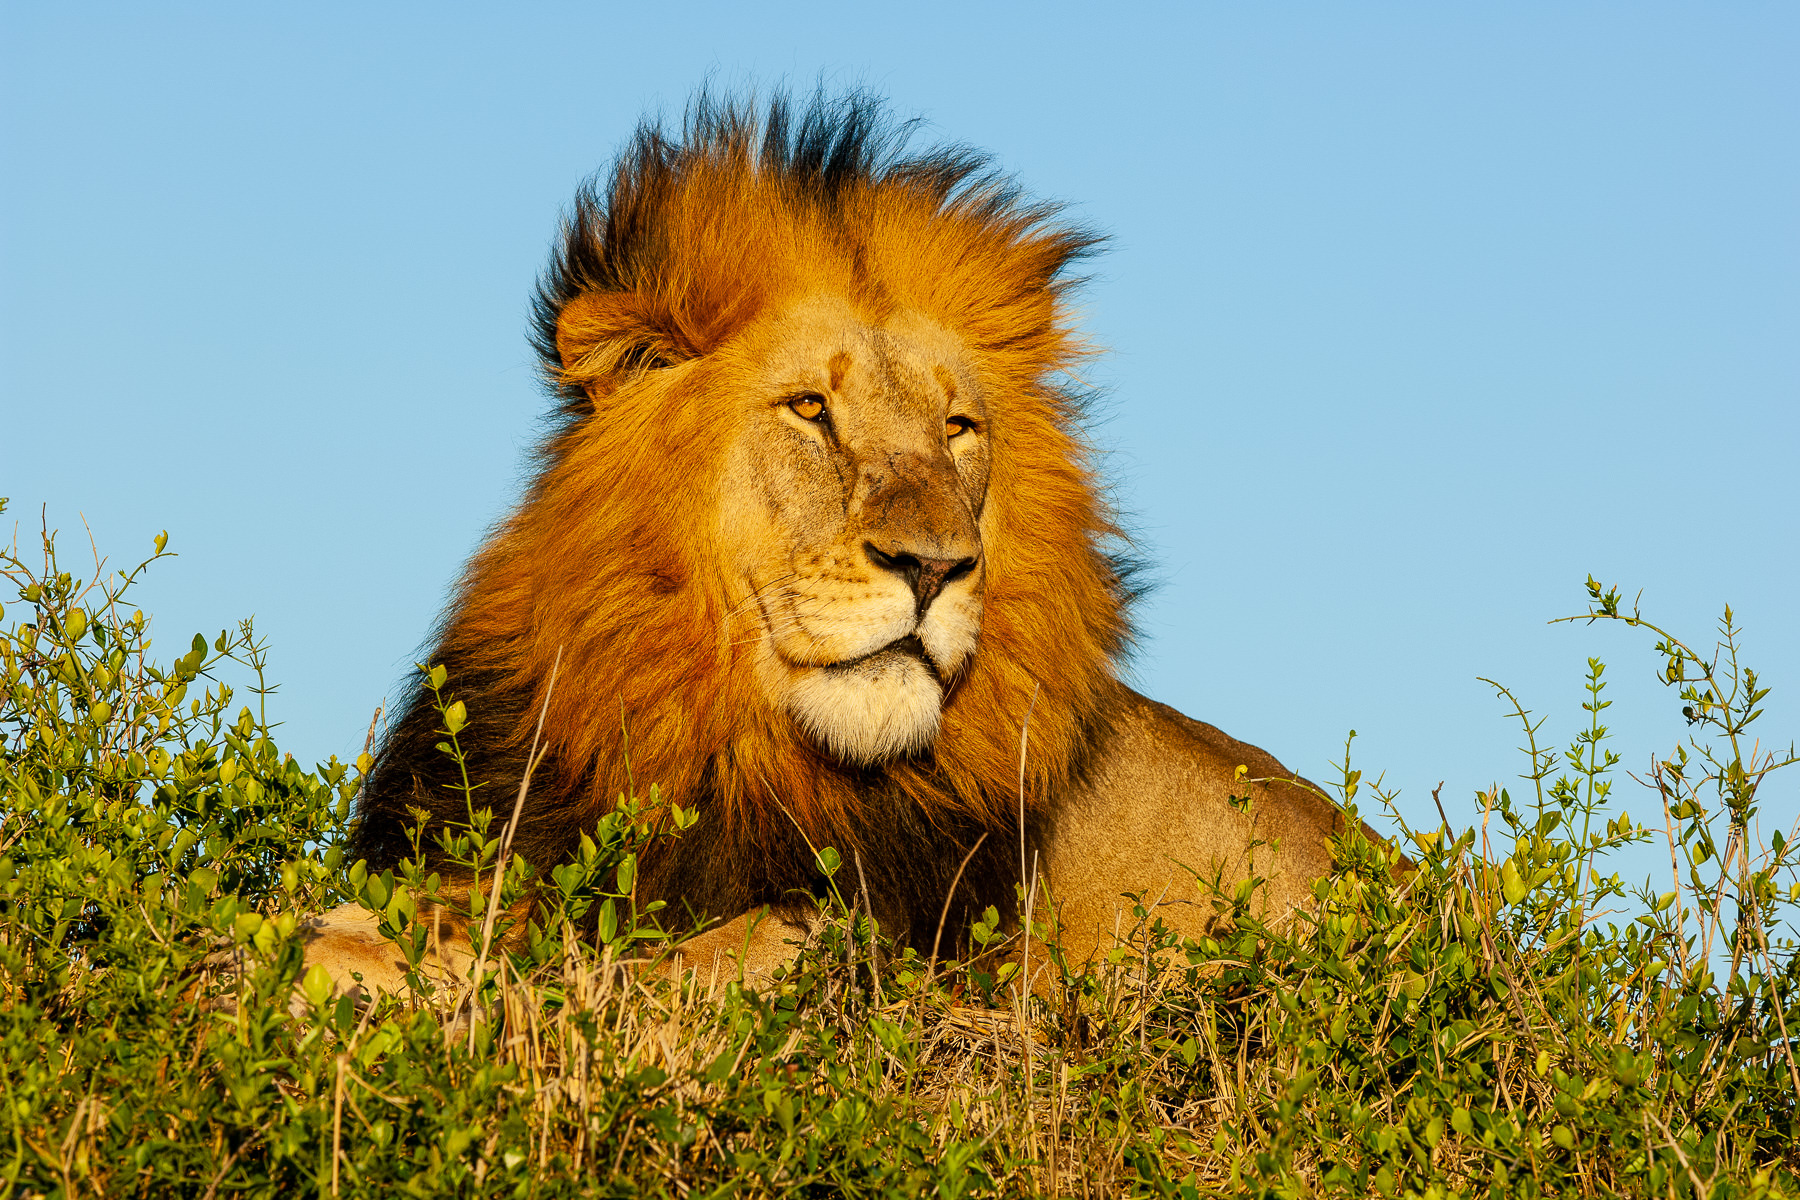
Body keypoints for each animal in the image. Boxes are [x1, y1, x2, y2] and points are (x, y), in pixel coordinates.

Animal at [295, 90, 1374, 1005]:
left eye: (956, 429)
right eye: (812, 409)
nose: (934, 567)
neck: (724, 736)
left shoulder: (881, 928)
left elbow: (672, 964)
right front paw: (342, 956)